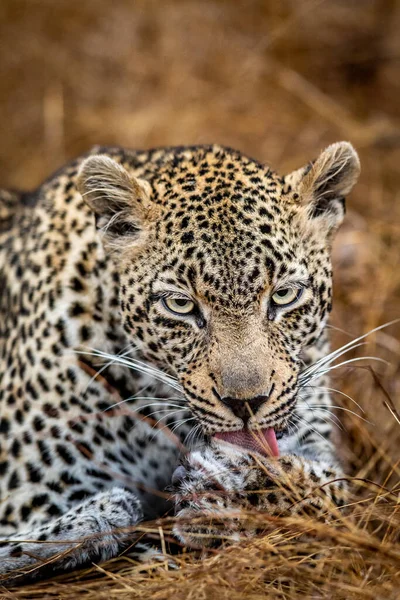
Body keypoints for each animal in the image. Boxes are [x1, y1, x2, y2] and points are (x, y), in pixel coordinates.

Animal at [0, 141, 360, 580]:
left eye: (284, 295)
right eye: (180, 305)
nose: (246, 404)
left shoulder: (316, 446)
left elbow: (327, 492)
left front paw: (227, 491)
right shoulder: (29, 496)